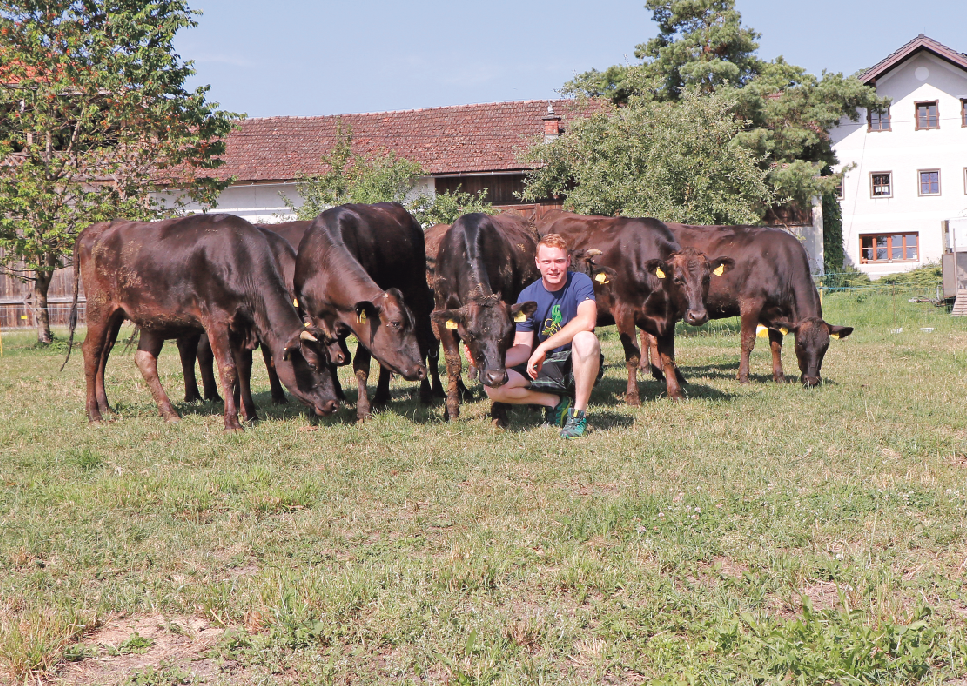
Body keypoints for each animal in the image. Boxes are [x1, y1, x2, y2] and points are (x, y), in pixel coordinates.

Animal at [66, 215, 338, 430]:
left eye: (329, 362)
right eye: (313, 364)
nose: (333, 403)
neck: (237, 257)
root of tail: (101, 227)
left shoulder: (241, 325)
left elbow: (243, 369)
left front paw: (249, 414)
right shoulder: (215, 321)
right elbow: (227, 369)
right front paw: (232, 423)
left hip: (148, 318)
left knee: (143, 359)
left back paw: (168, 413)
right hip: (100, 307)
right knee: (93, 351)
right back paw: (95, 413)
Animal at [294, 202, 432, 422]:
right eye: (395, 323)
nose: (420, 371)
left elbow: (361, 365)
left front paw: (363, 410)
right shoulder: (310, 319)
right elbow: (324, 360)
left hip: (417, 292)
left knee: (424, 343)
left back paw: (424, 394)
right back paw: (382, 396)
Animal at [432, 212, 544, 422]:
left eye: (506, 333)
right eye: (471, 334)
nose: (496, 377)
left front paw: (499, 410)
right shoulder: (444, 316)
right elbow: (453, 363)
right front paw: (451, 410)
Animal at [536, 210, 732, 404]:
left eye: (706, 278)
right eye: (678, 279)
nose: (697, 316)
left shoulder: (668, 318)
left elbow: (668, 356)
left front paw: (675, 392)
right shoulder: (624, 313)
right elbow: (632, 356)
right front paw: (632, 395)